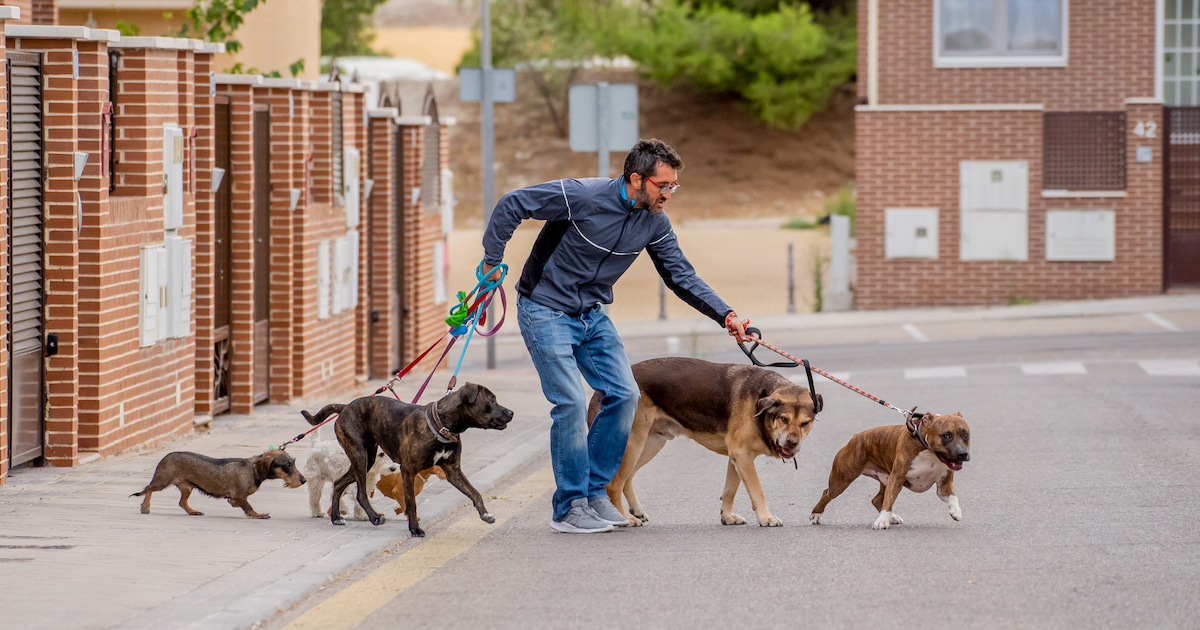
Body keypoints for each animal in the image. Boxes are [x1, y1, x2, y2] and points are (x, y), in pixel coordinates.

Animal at [129, 448, 307, 518]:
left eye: (293, 463)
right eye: (287, 465)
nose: (304, 480)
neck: (252, 469)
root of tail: (166, 456)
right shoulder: (240, 497)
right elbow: (249, 507)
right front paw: (259, 515)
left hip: (186, 487)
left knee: (182, 502)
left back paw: (193, 511)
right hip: (162, 481)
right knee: (147, 489)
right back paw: (145, 506)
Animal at [302, 384, 513, 535]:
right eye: (492, 401)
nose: (511, 412)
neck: (442, 424)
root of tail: (345, 407)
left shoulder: (453, 471)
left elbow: (475, 492)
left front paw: (485, 514)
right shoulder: (408, 471)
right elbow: (411, 502)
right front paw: (415, 529)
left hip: (367, 458)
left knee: (338, 484)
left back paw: (336, 517)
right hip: (360, 456)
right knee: (361, 493)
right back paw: (374, 517)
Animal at [590, 357, 825, 525]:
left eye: (805, 423)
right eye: (783, 419)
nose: (792, 442)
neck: (761, 401)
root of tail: (601, 390)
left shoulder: (737, 458)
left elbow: (730, 490)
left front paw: (727, 517)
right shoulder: (743, 456)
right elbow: (757, 490)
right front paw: (766, 518)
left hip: (650, 444)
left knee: (627, 479)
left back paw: (636, 511)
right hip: (634, 443)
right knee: (613, 484)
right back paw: (624, 519)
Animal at [811, 410, 969, 528]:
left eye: (966, 435)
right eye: (946, 436)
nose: (963, 453)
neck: (929, 452)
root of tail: (856, 437)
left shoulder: (943, 485)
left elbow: (953, 497)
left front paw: (956, 510)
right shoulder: (896, 478)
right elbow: (888, 502)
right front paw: (882, 521)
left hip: (886, 480)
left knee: (877, 499)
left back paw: (892, 517)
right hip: (842, 480)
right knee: (827, 494)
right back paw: (816, 515)